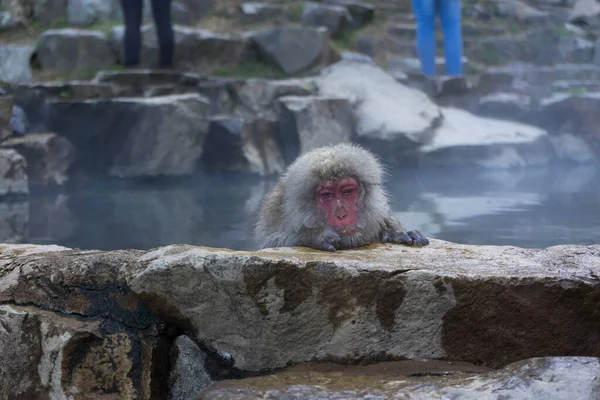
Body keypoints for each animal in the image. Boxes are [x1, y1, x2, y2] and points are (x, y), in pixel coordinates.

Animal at [255, 143, 428, 250]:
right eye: (327, 195)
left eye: (348, 191)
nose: (342, 214)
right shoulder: (275, 215)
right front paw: (317, 236)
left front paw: (396, 231)